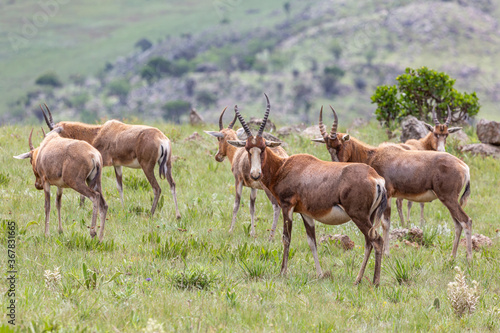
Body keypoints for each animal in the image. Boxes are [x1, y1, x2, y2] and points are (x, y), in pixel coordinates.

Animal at [39, 104, 180, 218]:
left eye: (57, 132)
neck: (99, 132)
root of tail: (161, 138)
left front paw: (81, 207)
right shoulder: (117, 165)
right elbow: (120, 187)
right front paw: (123, 209)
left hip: (147, 167)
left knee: (157, 188)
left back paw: (150, 214)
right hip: (167, 165)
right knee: (172, 184)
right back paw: (178, 215)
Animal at [204, 105, 290, 237]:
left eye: (218, 138)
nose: (218, 156)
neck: (238, 152)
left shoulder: (238, 181)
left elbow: (236, 204)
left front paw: (230, 231)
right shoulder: (253, 187)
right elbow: (252, 207)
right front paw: (252, 233)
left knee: (276, 206)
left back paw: (271, 236)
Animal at [229, 96, 388, 286]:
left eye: (263, 147)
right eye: (247, 148)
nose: (255, 174)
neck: (284, 167)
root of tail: (375, 178)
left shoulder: (287, 207)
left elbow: (286, 238)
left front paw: (283, 272)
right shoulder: (306, 214)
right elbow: (312, 242)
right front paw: (320, 274)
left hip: (359, 216)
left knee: (376, 240)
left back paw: (375, 282)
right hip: (369, 216)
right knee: (369, 242)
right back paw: (358, 279)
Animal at [312, 106, 472, 260]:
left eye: (340, 144)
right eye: (328, 147)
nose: (336, 166)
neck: (374, 155)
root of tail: (464, 166)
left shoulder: (387, 194)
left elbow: (385, 223)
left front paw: (387, 253)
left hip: (449, 198)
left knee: (466, 221)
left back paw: (468, 259)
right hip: (448, 199)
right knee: (458, 224)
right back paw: (452, 258)